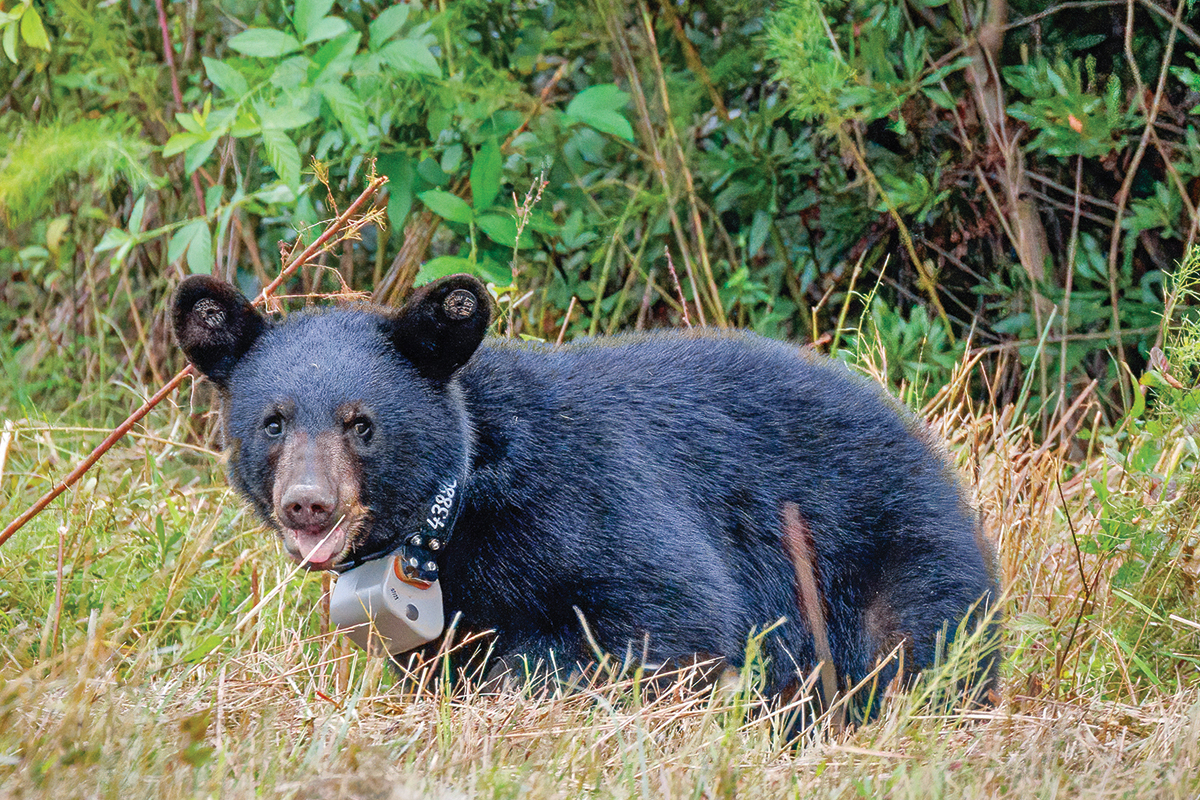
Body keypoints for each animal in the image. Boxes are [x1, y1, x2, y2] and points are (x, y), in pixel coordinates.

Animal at [173, 272, 1000, 720]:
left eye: (361, 425)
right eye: (273, 422)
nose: (307, 505)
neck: (462, 505)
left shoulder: (585, 497)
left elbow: (673, 607)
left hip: (891, 549)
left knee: (922, 641)